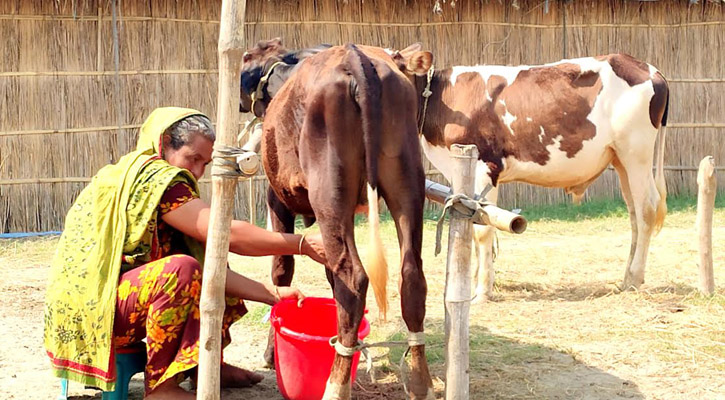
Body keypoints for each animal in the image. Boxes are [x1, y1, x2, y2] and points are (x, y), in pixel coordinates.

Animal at [240, 39, 436, 400]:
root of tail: (355, 57)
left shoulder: (277, 199)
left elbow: (282, 270)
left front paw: (270, 354)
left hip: (329, 192)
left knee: (353, 278)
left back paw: (335, 384)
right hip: (406, 182)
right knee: (411, 275)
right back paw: (420, 382)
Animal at [402, 51, 668, 298]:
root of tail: (648, 68)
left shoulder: (485, 167)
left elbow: (484, 228)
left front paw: (483, 291)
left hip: (636, 153)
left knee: (646, 209)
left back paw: (634, 279)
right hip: (620, 159)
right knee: (634, 214)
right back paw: (626, 279)